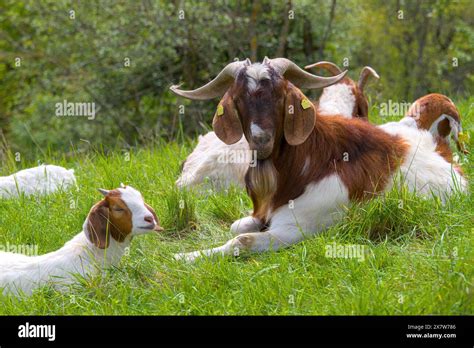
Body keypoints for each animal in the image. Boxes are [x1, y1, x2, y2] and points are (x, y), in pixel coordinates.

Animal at [170, 57, 466, 262]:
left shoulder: (296, 229)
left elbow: (240, 240)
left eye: (281, 96)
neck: (306, 166)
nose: (261, 139)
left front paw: (184, 257)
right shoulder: (263, 212)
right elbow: (236, 226)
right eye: (239, 99)